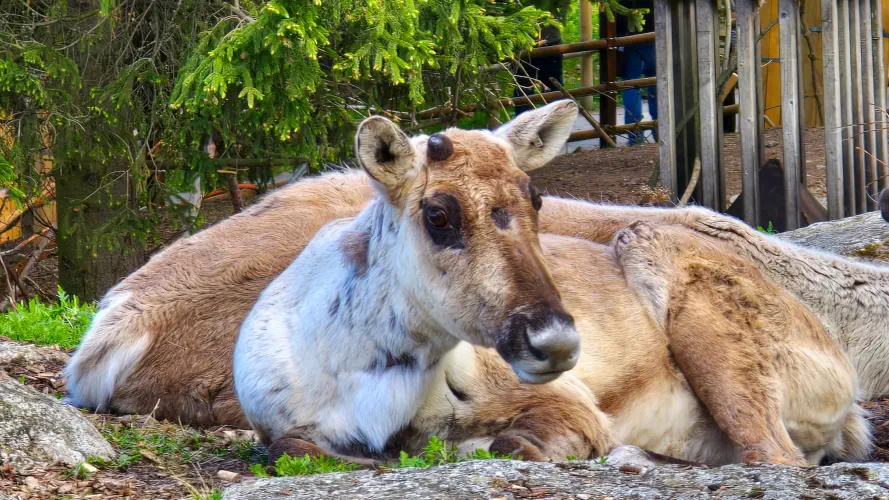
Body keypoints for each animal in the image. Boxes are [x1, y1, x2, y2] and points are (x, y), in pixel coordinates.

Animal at [65, 101, 873, 466]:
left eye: (535, 196)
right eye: (438, 212)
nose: (555, 339)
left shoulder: (567, 409)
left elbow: (513, 442)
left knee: (776, 456)